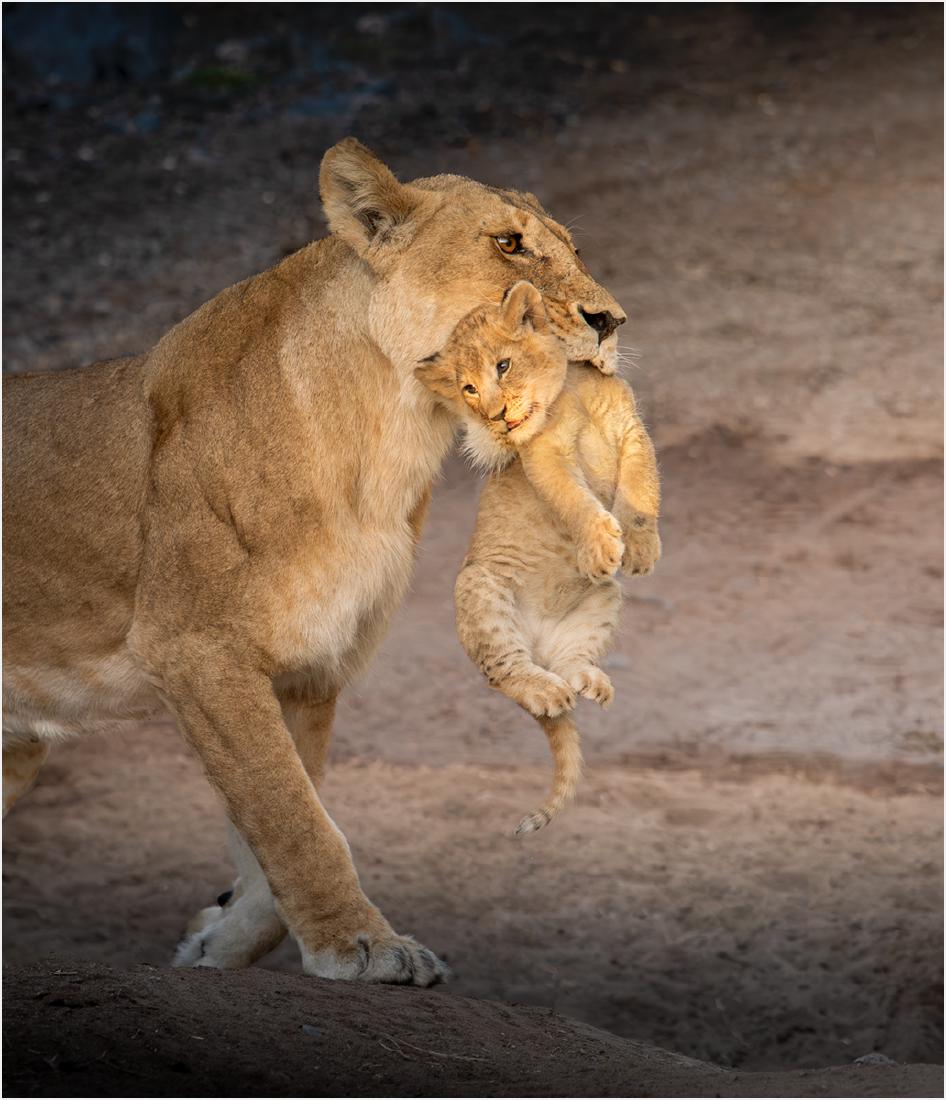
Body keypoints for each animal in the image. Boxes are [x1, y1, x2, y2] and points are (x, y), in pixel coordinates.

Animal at [2, 138, 625, 985]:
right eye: (509, 244)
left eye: (575, 249)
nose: (612, 321)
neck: (392, 433)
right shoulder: (193, 648)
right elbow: (295, 818)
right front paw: (365, 946)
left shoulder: (309, 670)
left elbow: (282, 824)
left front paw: (218, 942)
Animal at [415, 281, 660, 834]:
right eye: (467, 389)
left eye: (503, 366)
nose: (495, 416)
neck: (575, 390)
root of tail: (541, 645)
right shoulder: (546, 455)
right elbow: (573, 499)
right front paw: (601, 545)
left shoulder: (632, 432)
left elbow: (642, 491)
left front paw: (638, 549)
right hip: (480, 588)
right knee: (503, 671)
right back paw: (546, 693)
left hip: (602, 601)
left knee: (570, 659)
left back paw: (588, 681)